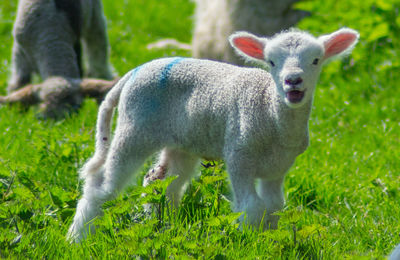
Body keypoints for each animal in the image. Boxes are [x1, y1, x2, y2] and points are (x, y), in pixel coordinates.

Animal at [66, 27, 360, 241]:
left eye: (316, 60)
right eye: (272, 62)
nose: (293, 81)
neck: (270, 113)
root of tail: (134, 72)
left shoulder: (279, 167)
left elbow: (274, 205)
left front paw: (269, 240)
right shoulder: (239, 154)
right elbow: (251, 207)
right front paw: (248, 243)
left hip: (182, 141)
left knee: (160, 182)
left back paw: (161, 225)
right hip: (135, 127)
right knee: (102, 184)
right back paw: (78, 237)